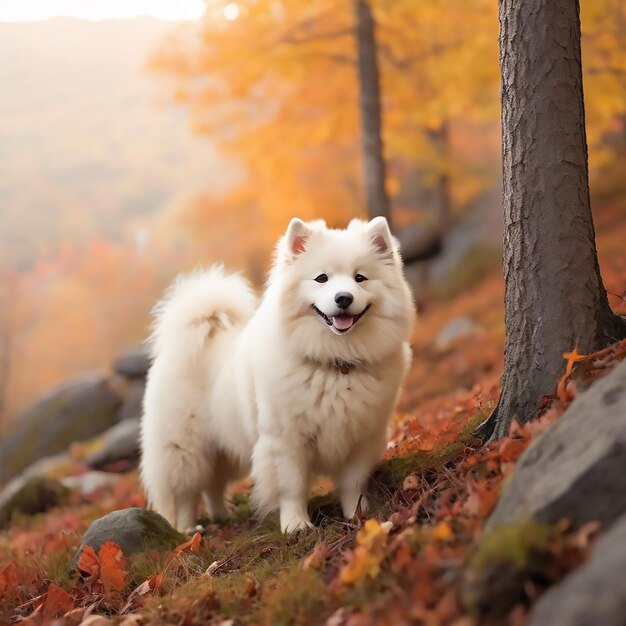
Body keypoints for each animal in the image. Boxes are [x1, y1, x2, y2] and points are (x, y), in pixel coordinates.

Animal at [141, 216, 414, 532]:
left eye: (360, 278)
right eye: (322, 278)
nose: (344, 298)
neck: (336, 363)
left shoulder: (363, 437)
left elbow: (353, 483)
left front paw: (359, 516)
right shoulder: (286, 440)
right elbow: (291, 486)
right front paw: (296, 526)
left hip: (223, 447)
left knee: (213, 486)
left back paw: (221, 517)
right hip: (186, 449)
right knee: (185, 493)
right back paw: (187, 530)